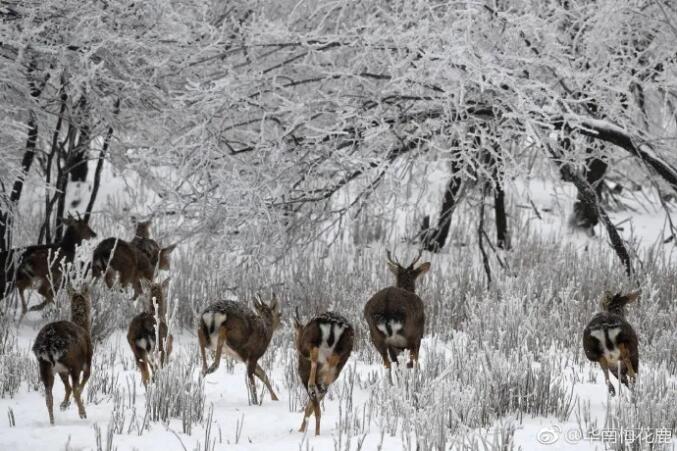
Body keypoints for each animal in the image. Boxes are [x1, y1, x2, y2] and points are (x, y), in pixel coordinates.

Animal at [31, 284, 92, 426]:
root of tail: (48, 345)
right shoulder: (87, 361)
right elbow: (82, 382)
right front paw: (69, 404)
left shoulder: (61, 369)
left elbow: (67, 387)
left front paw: (64, 405)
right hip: (73, 362)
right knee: (75, 388)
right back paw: (82, 413)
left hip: (45, 366)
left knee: (49, 397)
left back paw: (53, 422)